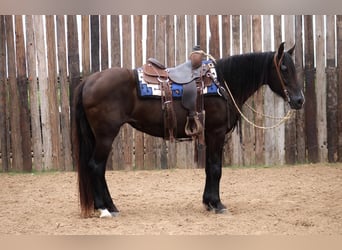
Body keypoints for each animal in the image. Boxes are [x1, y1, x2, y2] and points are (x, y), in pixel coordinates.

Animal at [73, 42, 304, 217]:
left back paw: (111, 206)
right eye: (284, 69)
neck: (222, 83)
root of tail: (89, 81)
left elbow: (209, 167)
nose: (299, 100)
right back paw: (104, 209)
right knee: (95, 166)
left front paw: (208, 202)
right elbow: (216, 168)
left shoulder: (210, 135)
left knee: (99, 169)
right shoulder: (216, 133)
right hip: (105, 136)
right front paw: (217, 204)